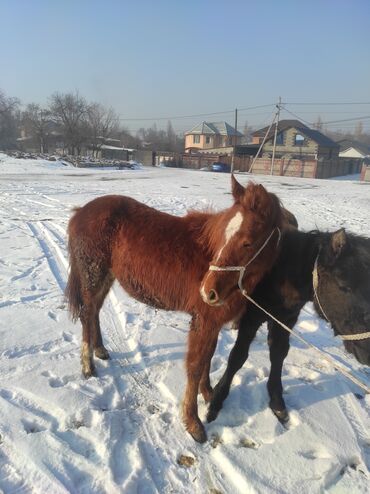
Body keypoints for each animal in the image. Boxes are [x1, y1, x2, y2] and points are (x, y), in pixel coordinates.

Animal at [65, 176, 282, 442]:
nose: (208, 292)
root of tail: (80, 213)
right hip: (93, 275)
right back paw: (88, 367)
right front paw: (193, 422)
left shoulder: (212, 322)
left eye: (248, 242)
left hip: (107, 277)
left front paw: (209, 394)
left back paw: (100, 350)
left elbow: (208, 357)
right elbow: (195, 366)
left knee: (94, 310)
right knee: (87, 314)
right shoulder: (203, 321)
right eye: (223, 237)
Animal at [207, 226, 370, 422]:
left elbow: (278, 355)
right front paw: (217, 399)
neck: (280, 272)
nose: (367, 351)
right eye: (343, 286)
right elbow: (237, 356)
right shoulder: (252, 318)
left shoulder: (285, 320)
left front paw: (276, 400)